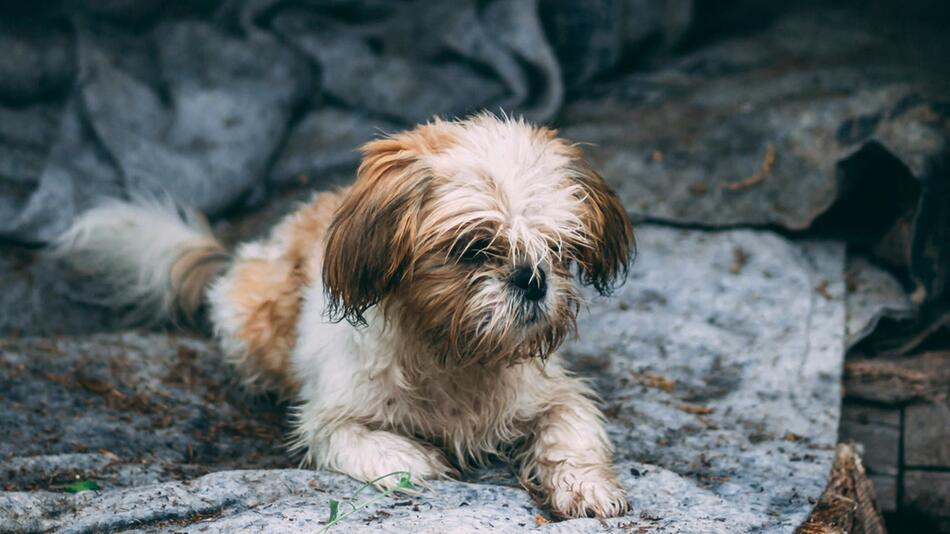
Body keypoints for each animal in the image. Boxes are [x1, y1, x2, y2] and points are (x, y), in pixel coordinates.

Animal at [57, 113, 640, 520]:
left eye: (559, 248)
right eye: (473, 249)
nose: (531, 279)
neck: (453, 353)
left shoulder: (554, 393)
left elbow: (571, 431)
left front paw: (586, 487)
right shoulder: (330, 420)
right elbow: (376, 446)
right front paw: (418, 459)